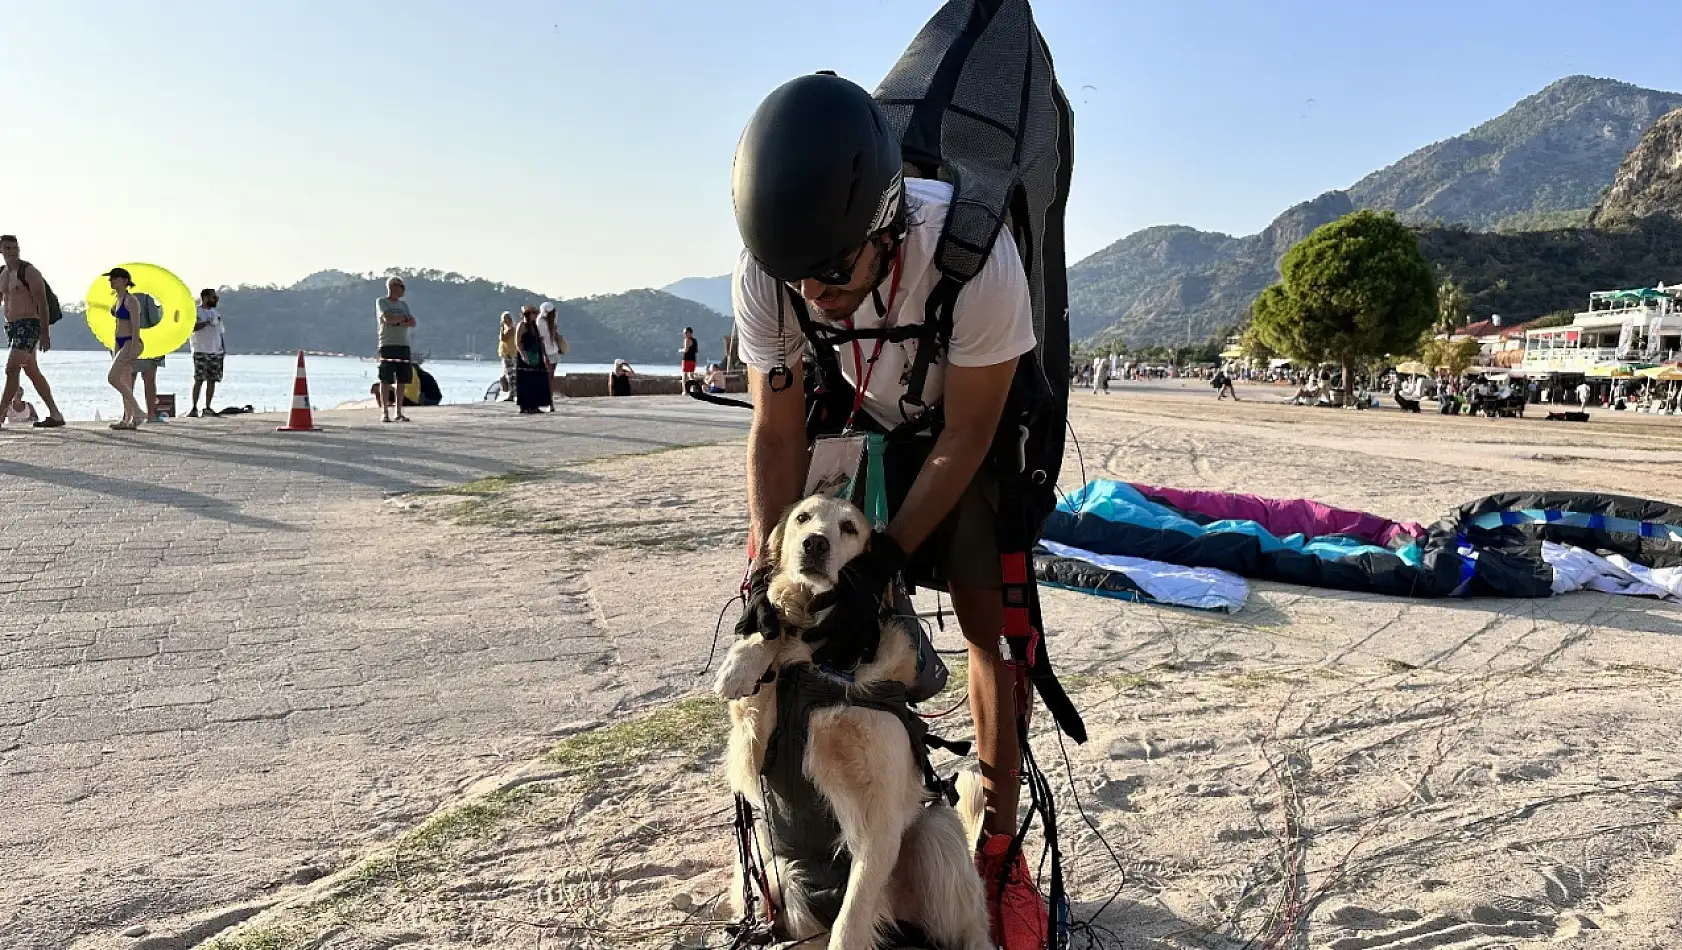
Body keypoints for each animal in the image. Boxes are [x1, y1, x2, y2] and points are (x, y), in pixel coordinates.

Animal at [713, 494, 995, 941]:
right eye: (802, 517)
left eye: (849, 528)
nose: (814, 544)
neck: (828, 661)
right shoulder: (753, 747)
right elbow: (774, 632)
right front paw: (743, 661)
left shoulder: (880, 817)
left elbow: (850, 923)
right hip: (764, 871)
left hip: (934, 833)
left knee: (970, 928)